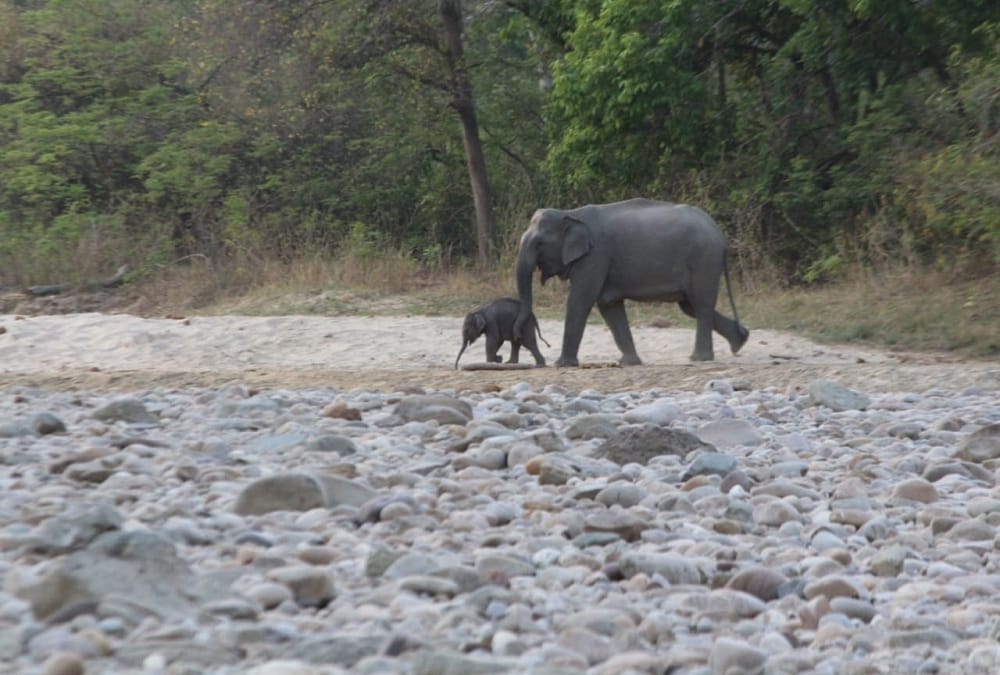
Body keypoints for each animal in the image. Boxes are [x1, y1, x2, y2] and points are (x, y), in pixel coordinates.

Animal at [514, 198, 748, 366]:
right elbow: (608, 305)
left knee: (701, 303)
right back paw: (740, 341)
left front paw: (562, 364)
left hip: (703, 259)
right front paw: (629, 363)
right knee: (690, 306)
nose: (519, 334)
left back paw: (700, 358)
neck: (571, 213)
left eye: (539, 243)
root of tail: (719, 233)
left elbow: (580, 301)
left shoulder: (596, 256)